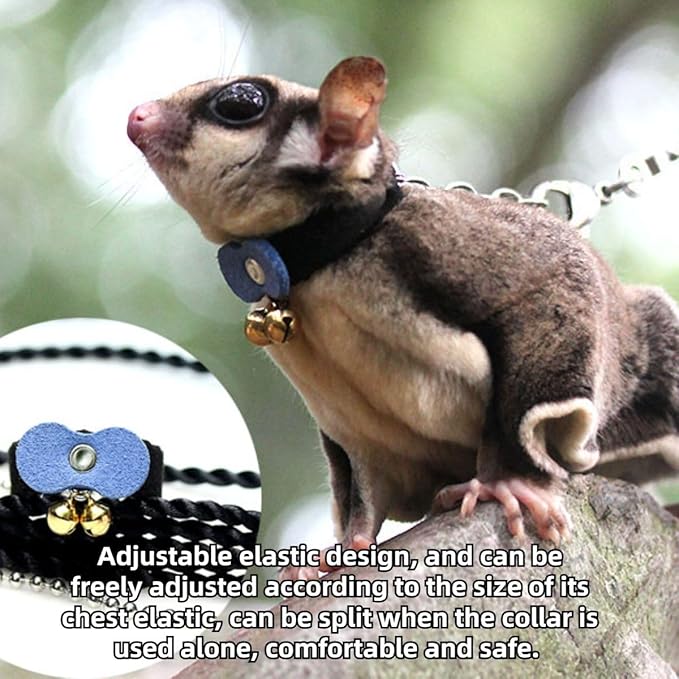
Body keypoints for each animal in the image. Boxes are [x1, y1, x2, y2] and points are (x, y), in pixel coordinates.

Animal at [128, 56, 679, 578]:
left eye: (240, 102)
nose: (136, 115)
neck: (326, 257)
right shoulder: (355, 435)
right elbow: (364, 489)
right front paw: (343, 550)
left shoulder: (453, 242)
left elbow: (559, 283)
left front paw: (507, 482)